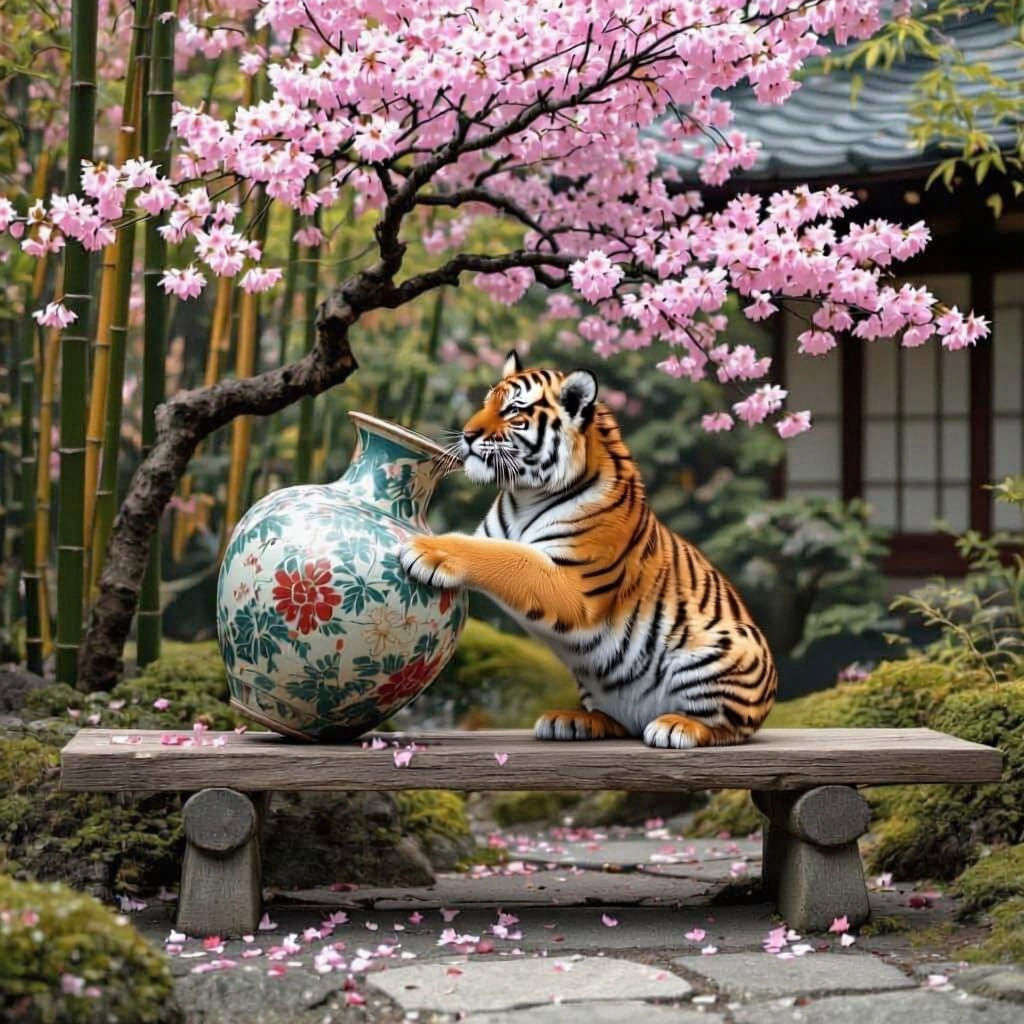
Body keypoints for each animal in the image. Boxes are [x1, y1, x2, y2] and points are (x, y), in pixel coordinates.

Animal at [398, 351, 777, 748]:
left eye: (514, 411)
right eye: (486, 404)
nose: (468, 434)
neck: (524, 496)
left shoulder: (575, 583)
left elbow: (506, 557)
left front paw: (427, 549)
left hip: (729, 649)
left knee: (730, 725)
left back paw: (679, 726)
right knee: (618, 721)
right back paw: (572, 720)